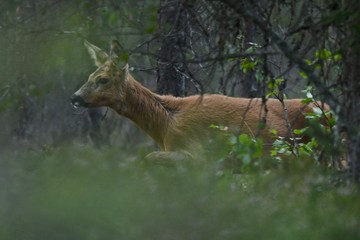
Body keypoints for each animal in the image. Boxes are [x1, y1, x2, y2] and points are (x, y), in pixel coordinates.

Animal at [70, 40, 330, 166]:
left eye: (103, 79)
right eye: (89, 76)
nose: (75, 97)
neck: (165, 123)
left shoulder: (198, 152)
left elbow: (149, 158)